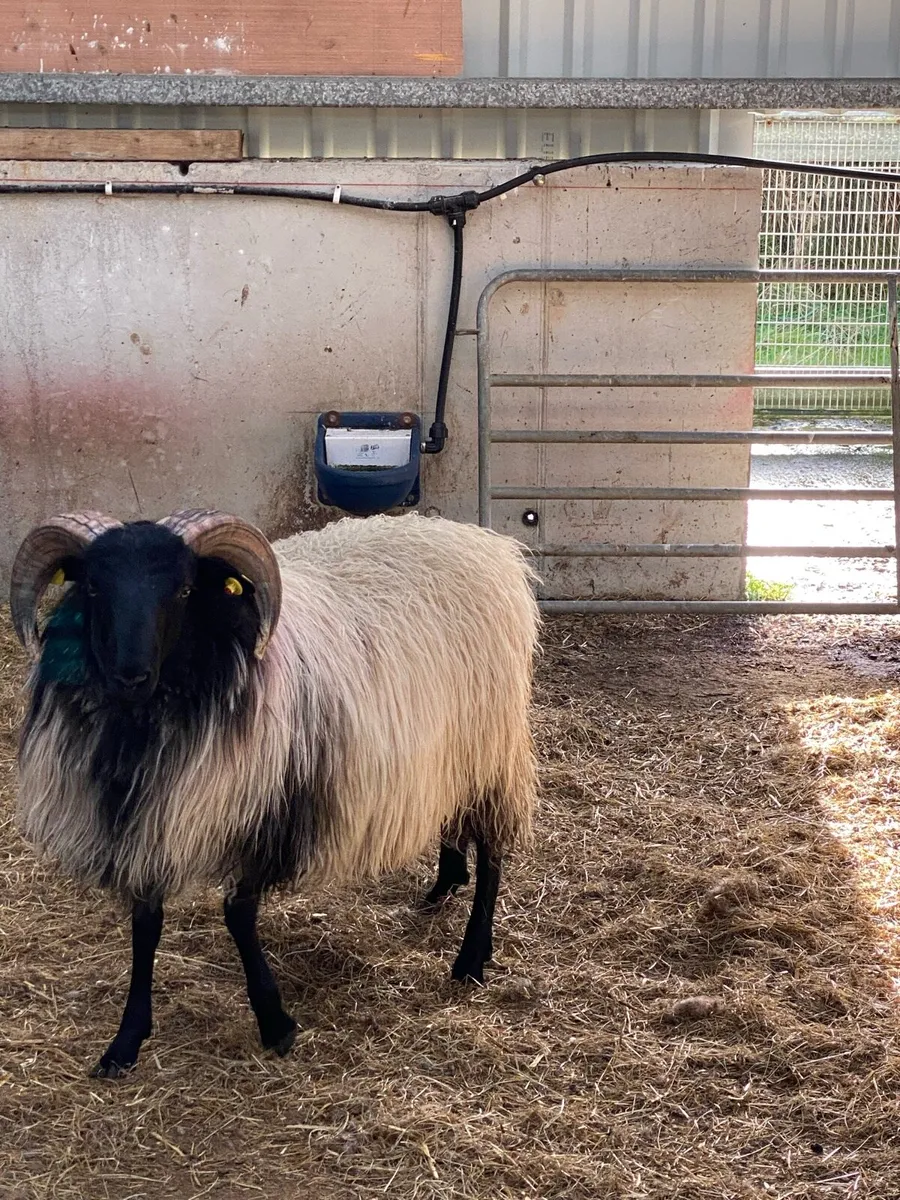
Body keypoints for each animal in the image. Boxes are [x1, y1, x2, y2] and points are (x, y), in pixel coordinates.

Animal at [9, 509, 539, 1077]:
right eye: (92, 586)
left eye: (184, 589)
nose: (129, 675)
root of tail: (482, 542)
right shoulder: (151, 821)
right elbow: (145, 925)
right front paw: (126, 1041)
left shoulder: (264, 808)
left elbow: (238, 916)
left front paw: (274, 1020)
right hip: (451, 752)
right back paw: (444, 883)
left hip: (493, 747)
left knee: (493, 853)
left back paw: (472, 957)